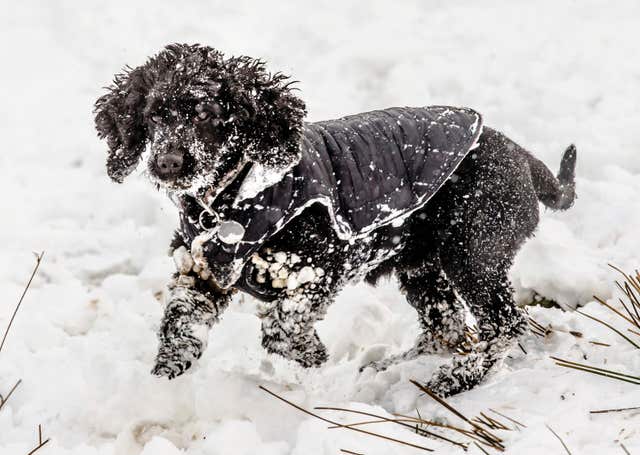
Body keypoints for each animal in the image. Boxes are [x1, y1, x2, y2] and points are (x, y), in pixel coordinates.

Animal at [96, 44, 580, 398]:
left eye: (205, 113)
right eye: (154, 114)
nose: (168, 164)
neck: (231, 198)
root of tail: (523, 158)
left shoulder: (319, 268)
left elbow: (281, 328)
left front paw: (311, 355)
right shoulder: (202, 274)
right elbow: (180, 327)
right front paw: (160, 388)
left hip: (473, 252)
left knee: (503, 325)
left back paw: (455, 379)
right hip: (421, 264)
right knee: (447, 325)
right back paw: (390, 368)